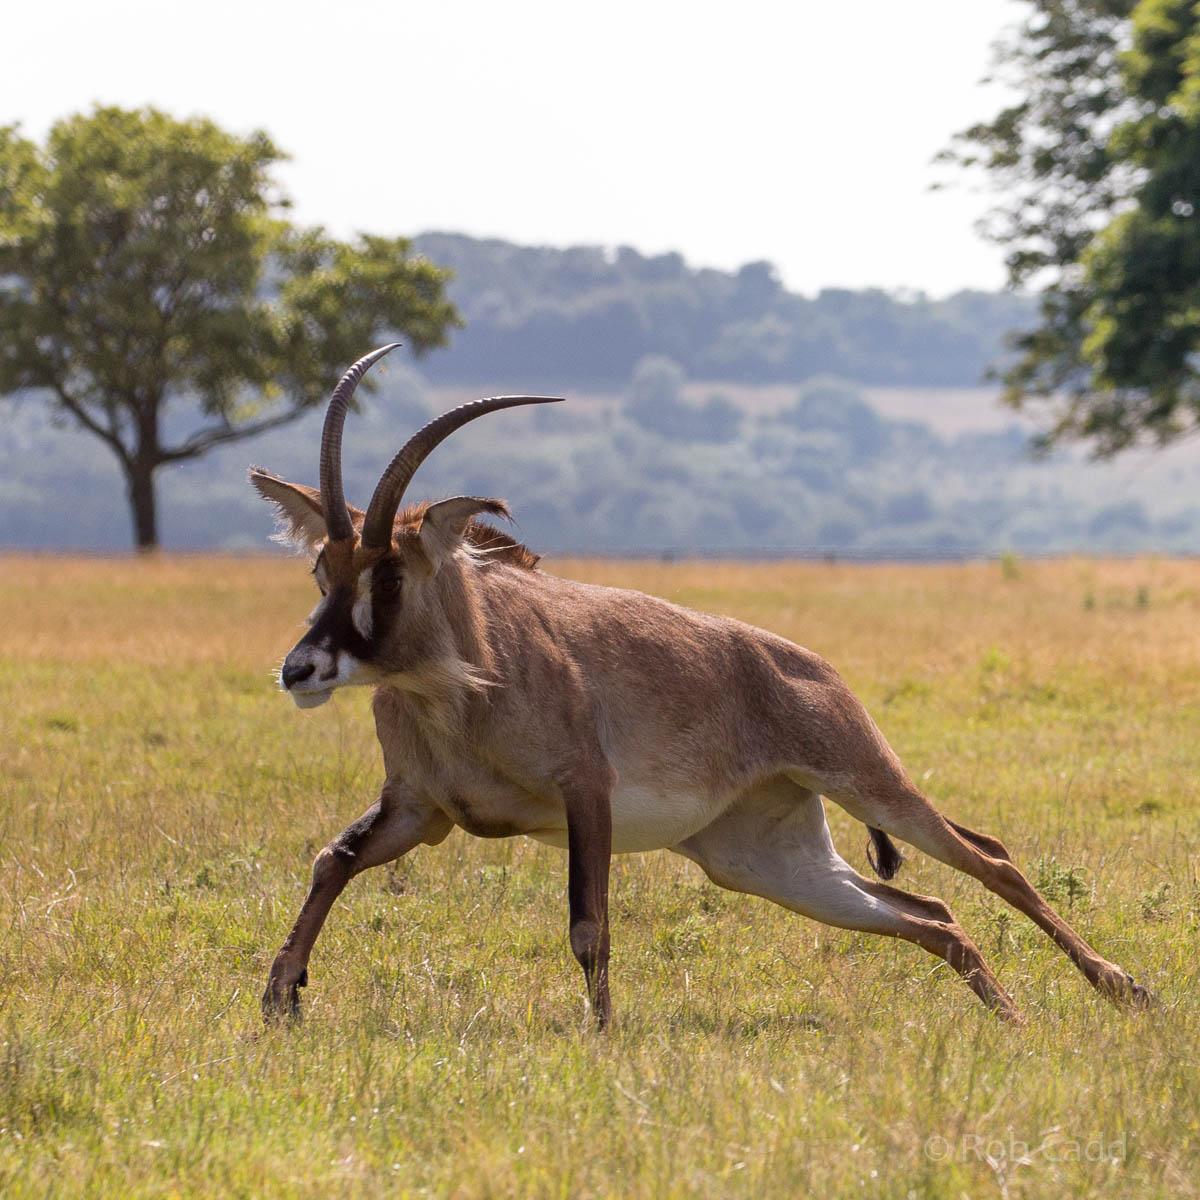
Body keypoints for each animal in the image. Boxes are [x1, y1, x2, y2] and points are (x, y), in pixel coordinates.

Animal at [250, 344, 1151, 1027]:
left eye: (390, 575)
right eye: (322, 569)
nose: (300, 669)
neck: (467, 683)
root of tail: (813, 668)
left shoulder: (585, 792)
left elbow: (588, 923)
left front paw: (604, 1036)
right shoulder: (420, 809)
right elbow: (331, 860)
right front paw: (280, 997)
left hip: (868, 782)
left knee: (990, 860)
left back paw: (1120, 987)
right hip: (763, 862)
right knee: (931, 915)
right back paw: (1011, 1016)